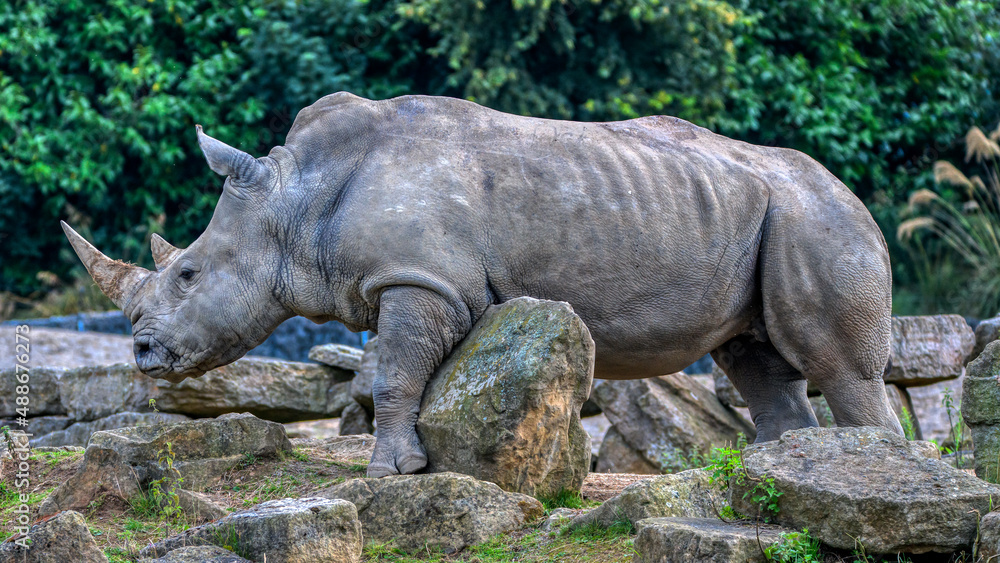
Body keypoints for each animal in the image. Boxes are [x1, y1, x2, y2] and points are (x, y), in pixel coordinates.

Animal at [62, 92, 903, 477]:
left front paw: (391, 472)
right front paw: (403, 463)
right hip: (766, 216)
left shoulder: (421, 281)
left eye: (188, 273)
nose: (141, 354)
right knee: (758, 361)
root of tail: (854, 194)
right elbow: (384, 374)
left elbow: (396, 375)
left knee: (839, 367)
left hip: (819, 217)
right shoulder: (406, 281)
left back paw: (867, 467)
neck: (296, 201)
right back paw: (789, 466)